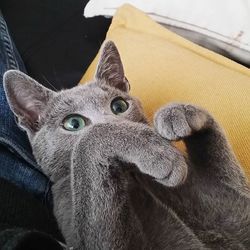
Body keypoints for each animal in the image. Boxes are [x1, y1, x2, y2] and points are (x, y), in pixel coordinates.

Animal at [2, 41, 250, 248]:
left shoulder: (233, 198)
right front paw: (157, 152)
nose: (118, 123)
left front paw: (178, 113)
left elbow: (226, 170)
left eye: (119, 106)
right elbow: (89, 142)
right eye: (73, 123)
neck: (135, 176)